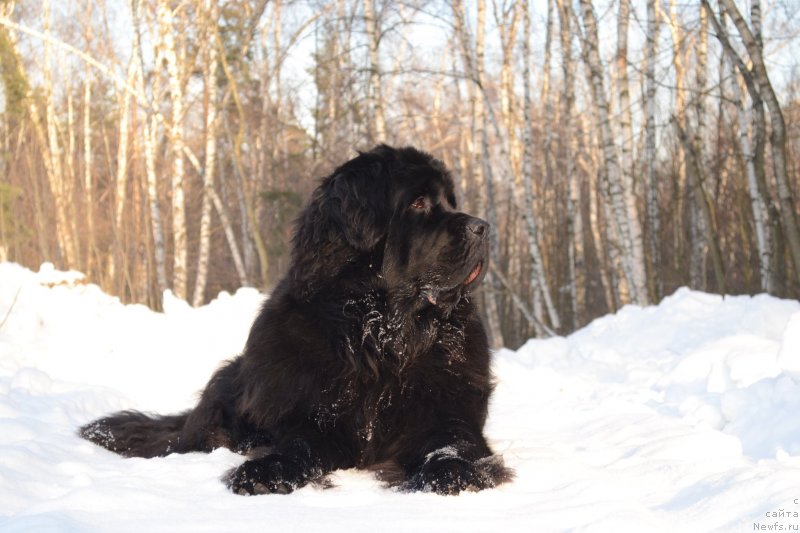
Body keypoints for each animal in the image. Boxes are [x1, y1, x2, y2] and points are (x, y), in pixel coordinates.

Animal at [81, 144, 510, 494]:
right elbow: (298, 443)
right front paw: (264, 471)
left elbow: (451, 442)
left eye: (451, 201)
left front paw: (453, 472)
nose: (484, 227)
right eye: (419, 202)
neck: (381, 335)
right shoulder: (307, 411)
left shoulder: (449, 409)